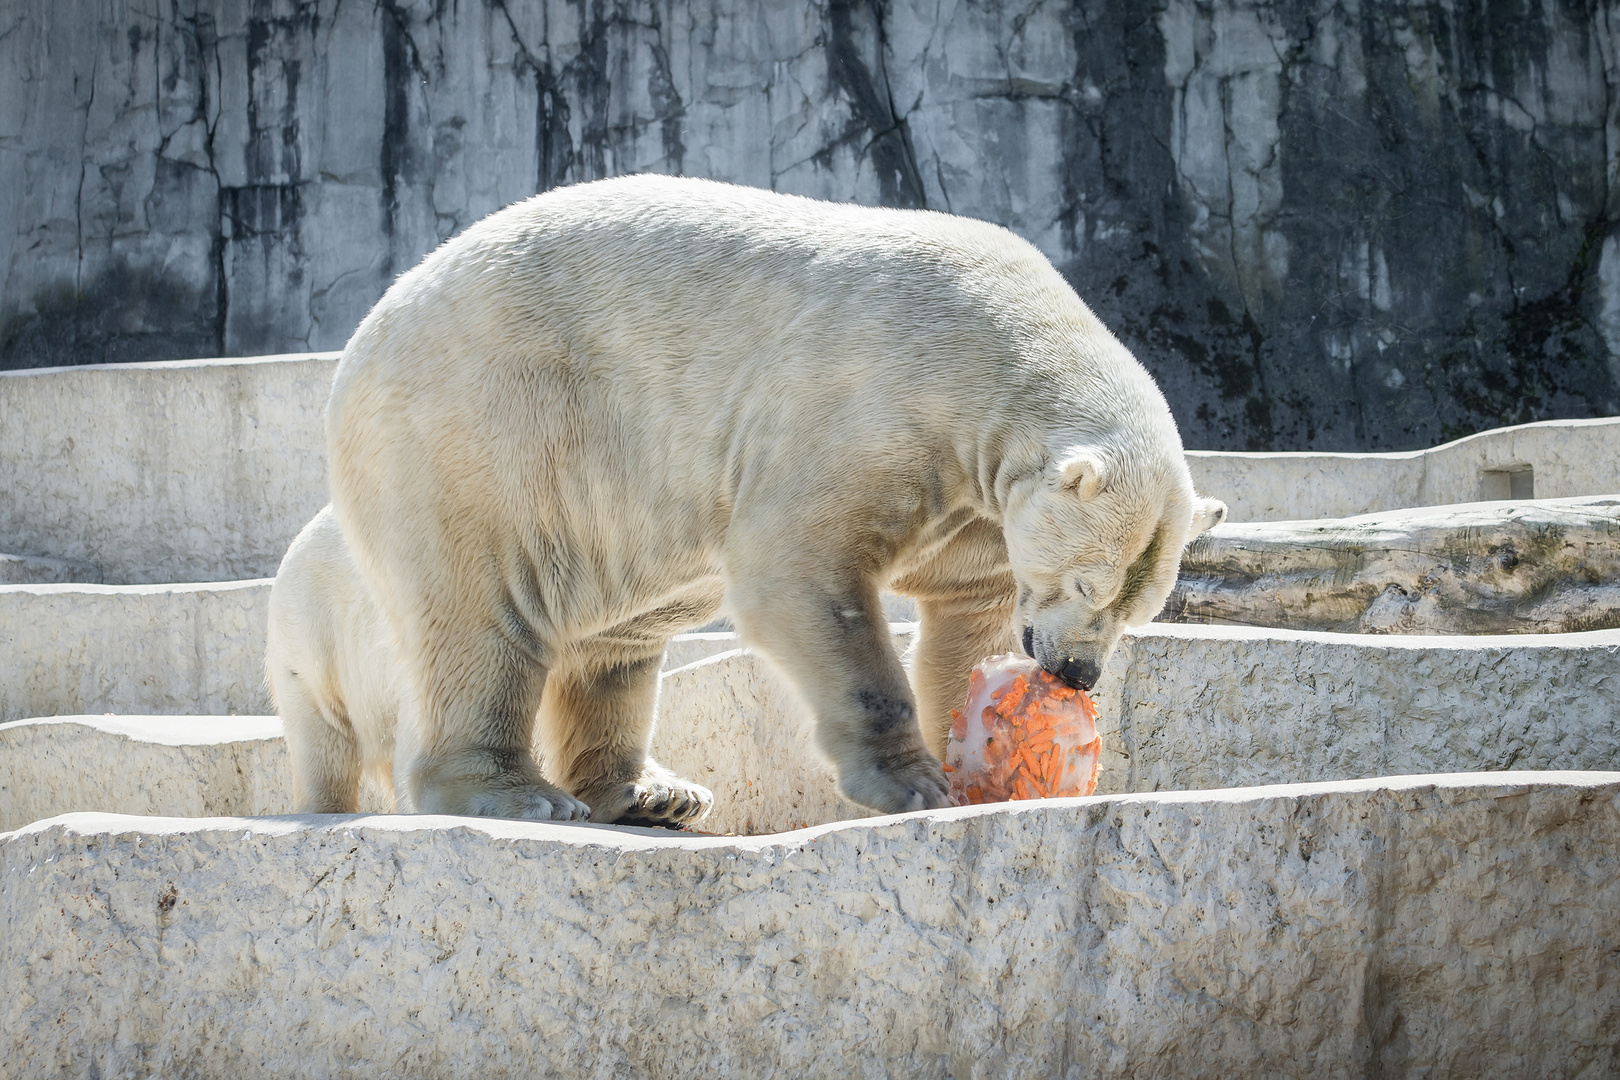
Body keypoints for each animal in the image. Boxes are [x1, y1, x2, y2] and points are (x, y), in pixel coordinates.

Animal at [322, 173, 1218, 822]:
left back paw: (651, 793)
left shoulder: (976, 501)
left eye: (1140, 609)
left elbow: (969, 615)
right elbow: (805, 571)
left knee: (621, 635)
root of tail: (366, 332)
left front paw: (973, 748)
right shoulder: (871, 400)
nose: (1076, 673)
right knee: (482, 609)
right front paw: (911, 783)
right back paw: (515, 793)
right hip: (487, 432)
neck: (994, 354)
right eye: (1086, 583)